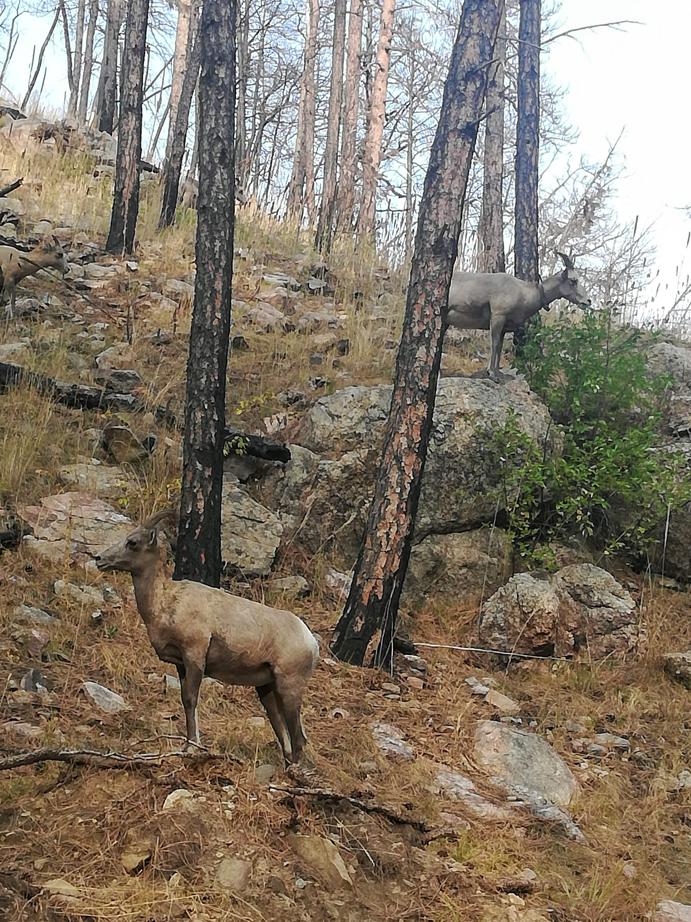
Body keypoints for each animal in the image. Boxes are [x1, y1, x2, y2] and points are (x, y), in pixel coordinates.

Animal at [95, 511, 319, 765]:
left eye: (132, 542)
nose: (99, 559)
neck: (164, 602)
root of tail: (311, 642)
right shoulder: (181, 665)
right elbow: (185, 701)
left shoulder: (194, 656)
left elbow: (191, 699)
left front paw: (192, 748)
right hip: (266, 689)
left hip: (289, 686)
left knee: (298, 737)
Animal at [446, 252, 591, 381]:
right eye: (573, 280)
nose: (588, 301)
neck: (523, 293)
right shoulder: (498, 317)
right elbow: (495, 344)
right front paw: (491, 374)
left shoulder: (504, 328)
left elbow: (499, 347)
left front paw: (498, 373)